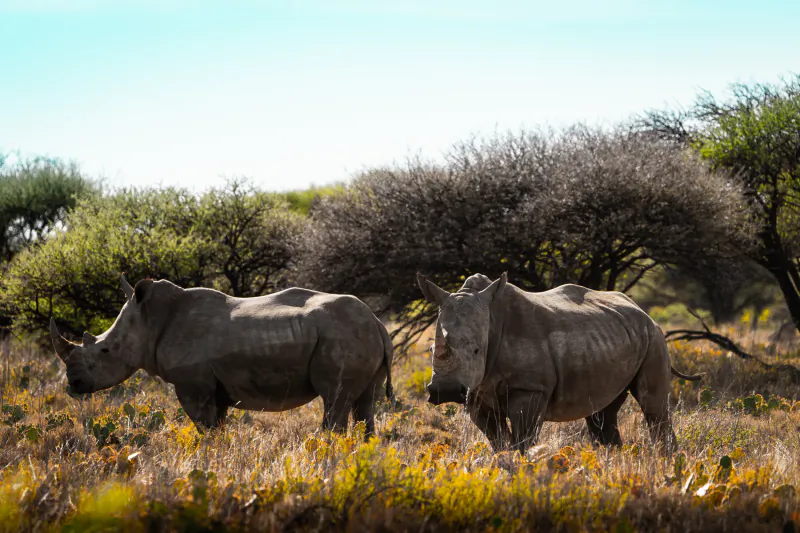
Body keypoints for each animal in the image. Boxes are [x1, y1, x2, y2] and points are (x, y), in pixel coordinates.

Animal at [49, 276, 394, 437]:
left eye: (105, 350)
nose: (74, 383)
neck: (150, 321)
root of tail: (377, 322)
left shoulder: (193, 384)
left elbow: (205, 428)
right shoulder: (215, 388)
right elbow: (218, 426)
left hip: (341, 335)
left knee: (335, 400)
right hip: (358, 334)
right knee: (365, 403)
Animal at [416, 272, 702, 454]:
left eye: (477, 350)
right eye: (430, 349)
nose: (445, 391)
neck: (492, 322)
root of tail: (643, 311)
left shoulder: (530, 388)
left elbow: (523, 441)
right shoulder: (476, 392)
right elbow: (499, 443)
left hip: (654, 338)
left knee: (653, 406)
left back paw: (666, 461)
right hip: (615, 337)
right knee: (603, 413)